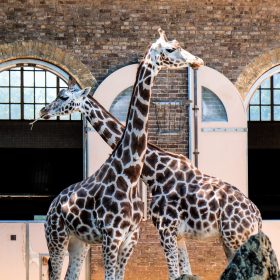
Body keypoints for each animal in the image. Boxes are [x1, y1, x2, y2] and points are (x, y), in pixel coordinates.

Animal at [41, 29, 203, 280]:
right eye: (170, 49)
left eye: (64, 97)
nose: (43, 110)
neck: (132, 172)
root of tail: (52, 205)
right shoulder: (113, 235)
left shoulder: (131, 237)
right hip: (58, 238)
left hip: (79, 242)